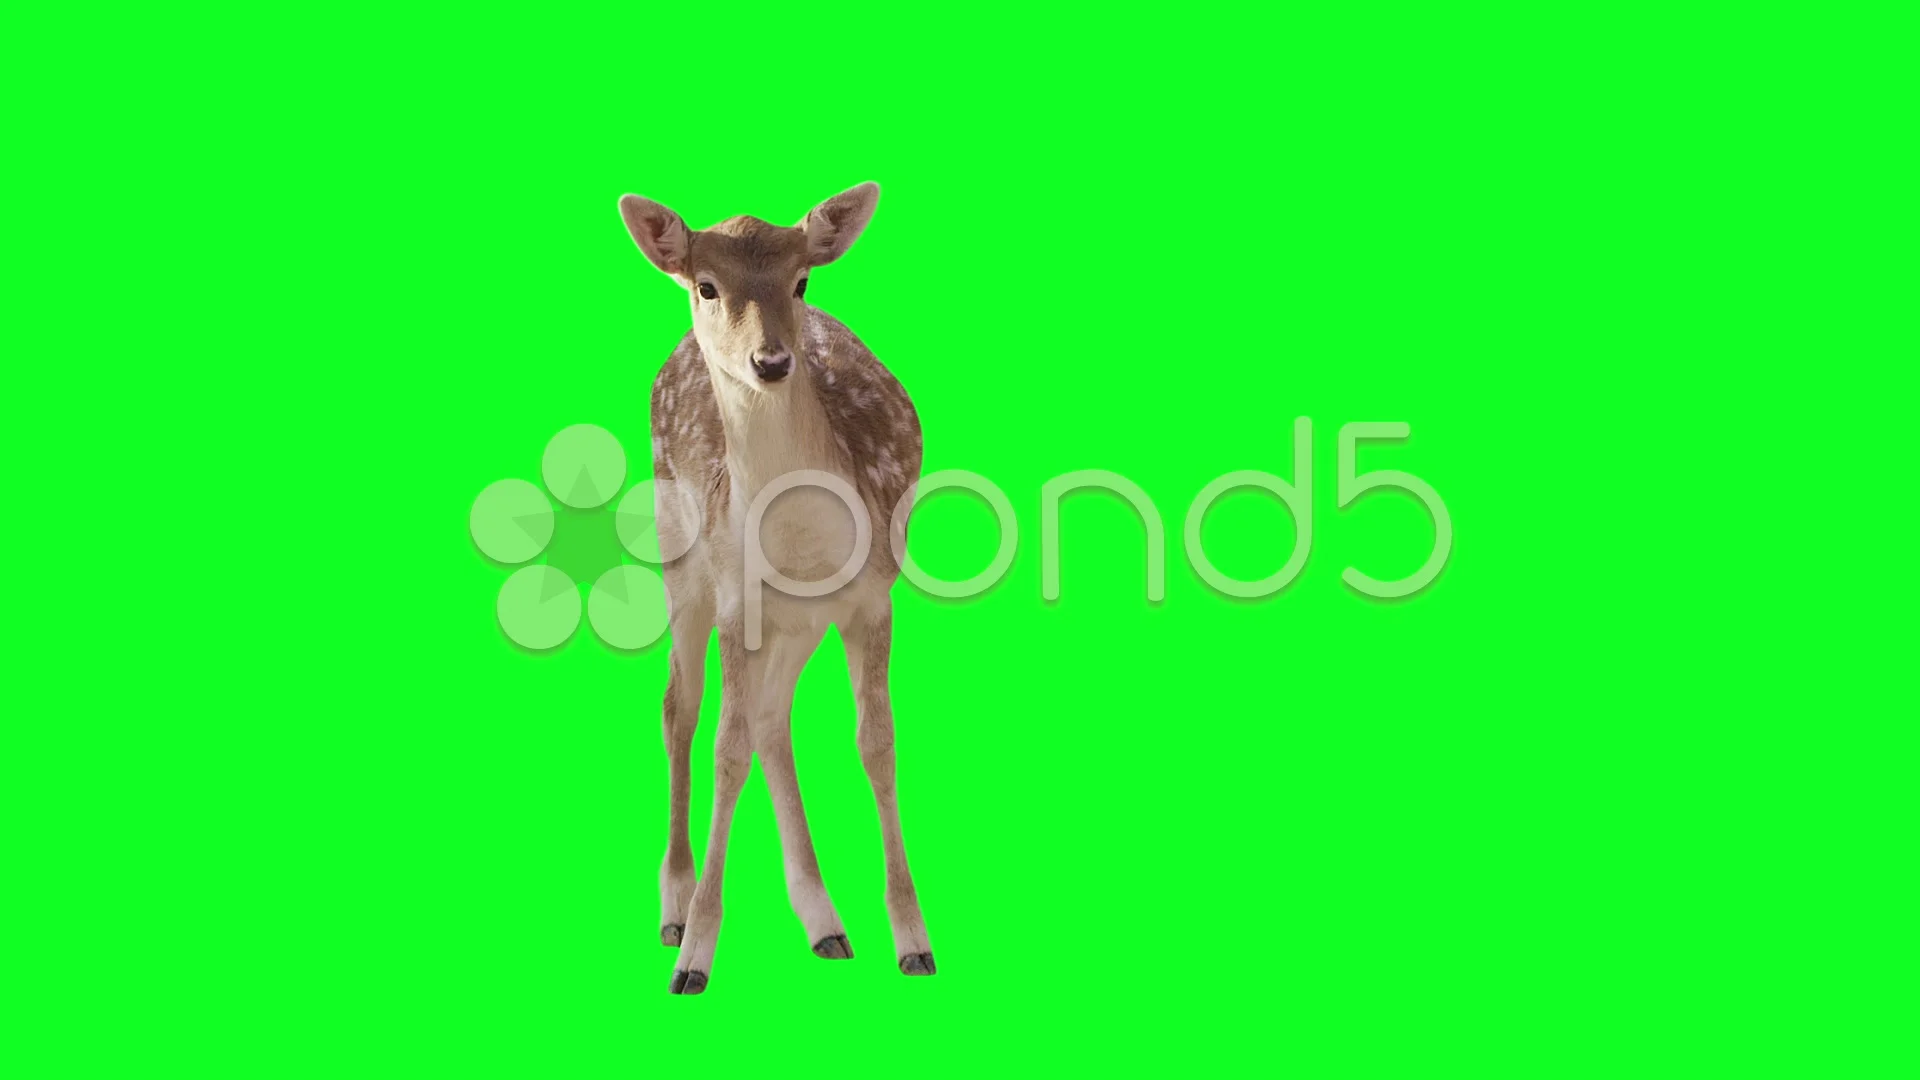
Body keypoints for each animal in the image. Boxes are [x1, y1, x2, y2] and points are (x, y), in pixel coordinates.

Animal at [617, 183, 934, 995]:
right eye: (707, 284)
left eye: (802, 282)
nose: (772, 361)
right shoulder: (736, 599)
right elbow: (723, 750)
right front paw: (695, 958)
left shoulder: (873, 595)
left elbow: (877, 742)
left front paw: (914, 943)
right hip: (678, 552)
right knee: (680, 707)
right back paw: (673, 907)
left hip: (796, 622)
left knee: (770, 718)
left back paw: (825, 922)